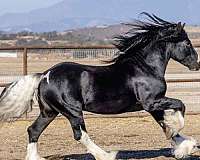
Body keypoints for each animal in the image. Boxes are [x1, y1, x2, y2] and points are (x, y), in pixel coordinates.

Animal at [0, 13, 200, 159]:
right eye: (187, 43)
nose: (196, 65)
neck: (145, 68)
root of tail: (45, 75)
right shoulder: (152, 102)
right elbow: (180, 106)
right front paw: (179, 132)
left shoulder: (152, 106)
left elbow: (164, 123)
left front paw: (184, 146)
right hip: (72, 111)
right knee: (80, 134)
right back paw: (107, 155)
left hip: (49, 112)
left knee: (33, 130)